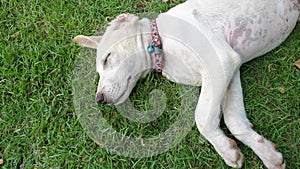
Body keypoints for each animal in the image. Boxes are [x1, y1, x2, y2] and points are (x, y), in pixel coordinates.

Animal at [74, 0, 298, 168]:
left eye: (107, 58)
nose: (99, 99)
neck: (160, 43)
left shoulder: (220, 61)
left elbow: (202, 117)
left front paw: (224, 149)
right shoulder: (230, 70)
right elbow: (235, 120)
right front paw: (267, 153)